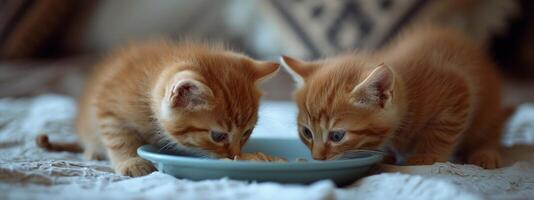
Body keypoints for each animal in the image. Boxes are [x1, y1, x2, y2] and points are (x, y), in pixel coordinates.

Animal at [38, 39, 280, 177]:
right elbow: (119, 138)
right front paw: (131, 161)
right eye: (218, 136)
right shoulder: (108, 107)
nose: (234, 155)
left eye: (247, 132)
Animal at [282, 27, 508, 169]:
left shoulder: (458, 90)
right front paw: (388, 153)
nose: (317, 158)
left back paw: (485, 153)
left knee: (489, 131)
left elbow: (442, 132)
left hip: (487, 111)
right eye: (306, 132)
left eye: (337, 136)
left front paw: (426, 156)